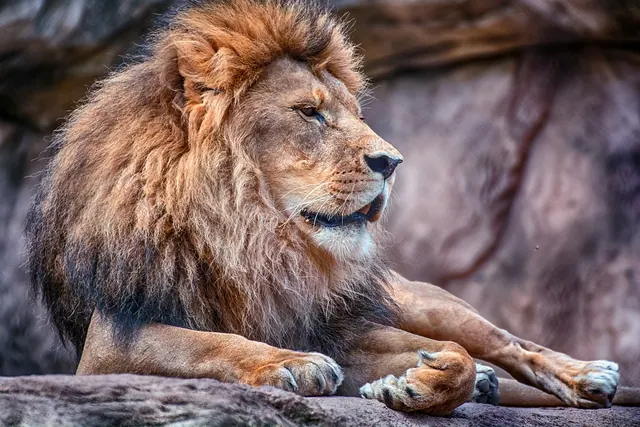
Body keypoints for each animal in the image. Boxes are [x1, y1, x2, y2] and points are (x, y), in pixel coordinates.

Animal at [26, 0, 639, 414]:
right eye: (311, 113)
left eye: (353, 114)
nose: (392, 161)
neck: (249, 238)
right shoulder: (110, 342)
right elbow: (205, 342)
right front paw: (290, 364)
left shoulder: (338, 325)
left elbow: (455, 356)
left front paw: (419, 383)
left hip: (420, 300)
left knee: (507, 342)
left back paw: (588, 375)